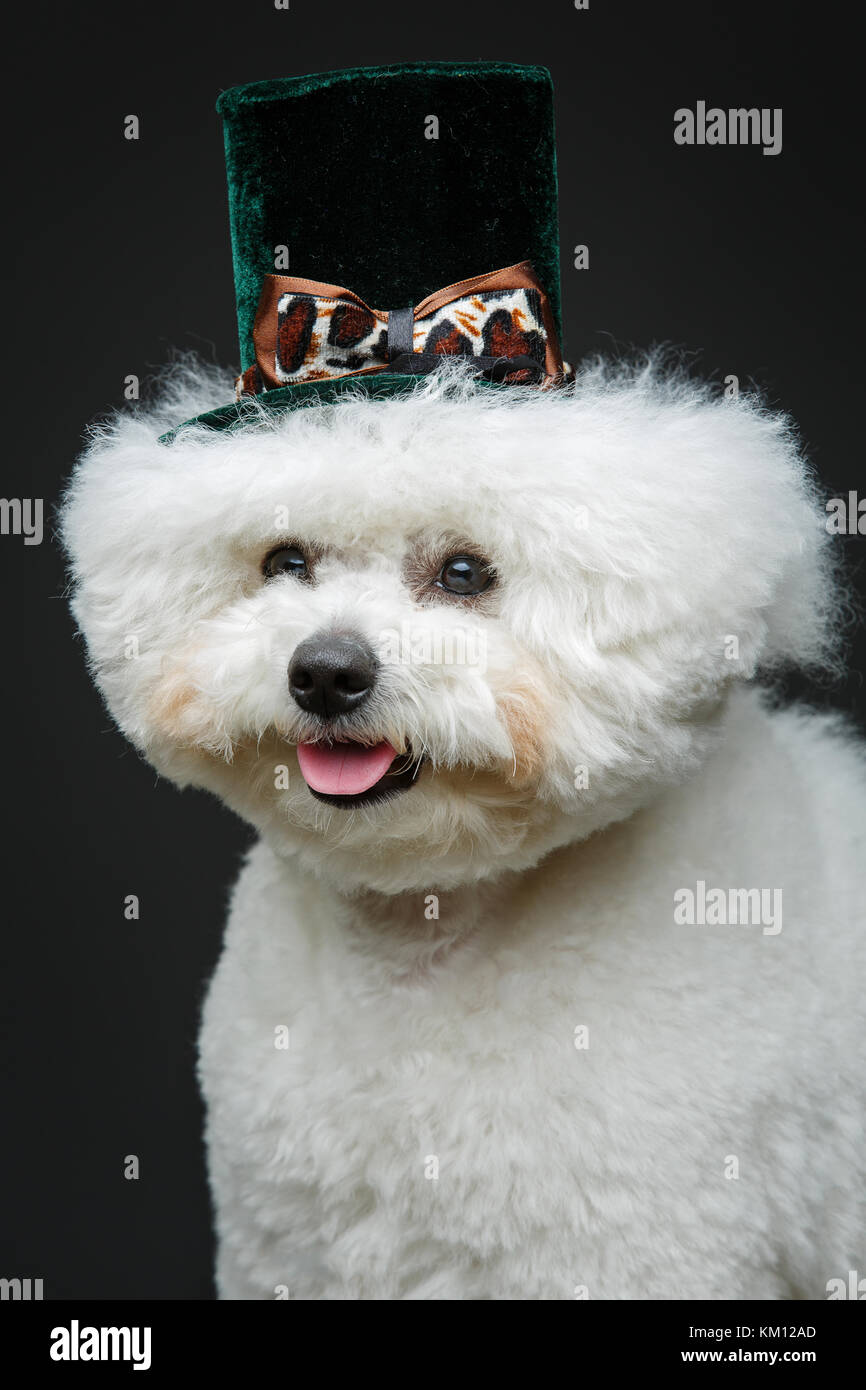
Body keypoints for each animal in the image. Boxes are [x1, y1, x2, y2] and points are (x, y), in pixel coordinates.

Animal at [62, 353, 866, 1295]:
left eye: (464, 573)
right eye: (285, 560)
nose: (325, 670)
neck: (420, 947)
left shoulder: (637, 1248)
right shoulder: (286, 1247)